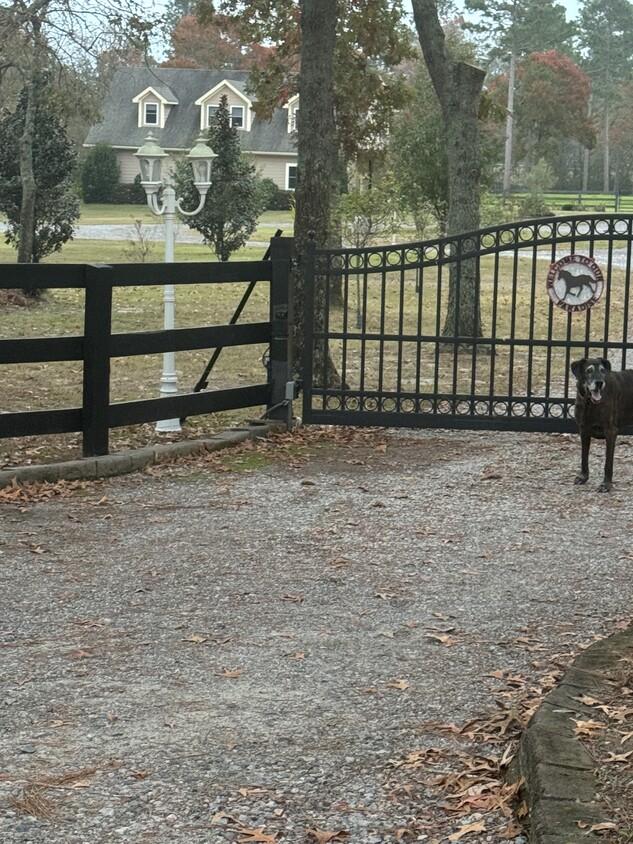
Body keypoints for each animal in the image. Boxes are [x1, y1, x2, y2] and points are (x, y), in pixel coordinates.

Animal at [572, 358, 633, 492]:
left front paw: (606, 484)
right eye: (589, 371)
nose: (599, 383)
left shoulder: (611, 432)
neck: (589, 403)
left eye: (602, 370)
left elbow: (608, 463)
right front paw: (583, 477)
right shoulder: (584, 431)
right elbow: (584, 457)